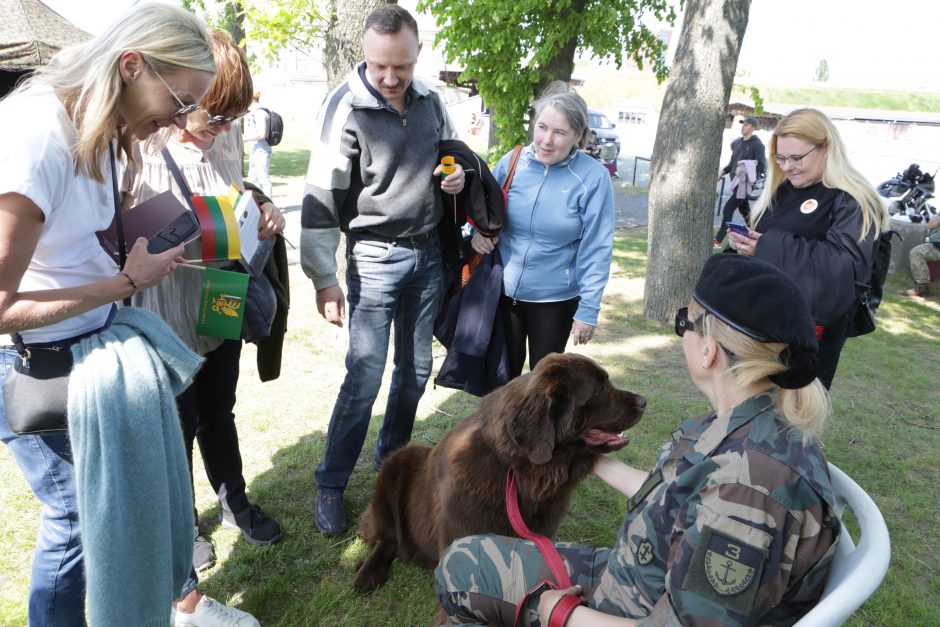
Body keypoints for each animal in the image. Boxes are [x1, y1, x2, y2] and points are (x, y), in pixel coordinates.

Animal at [352, 354, 648, 592]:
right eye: (600, 389)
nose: (644, 400)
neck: (519, 473)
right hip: (399, 460)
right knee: (388, 537)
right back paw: (368, 572)